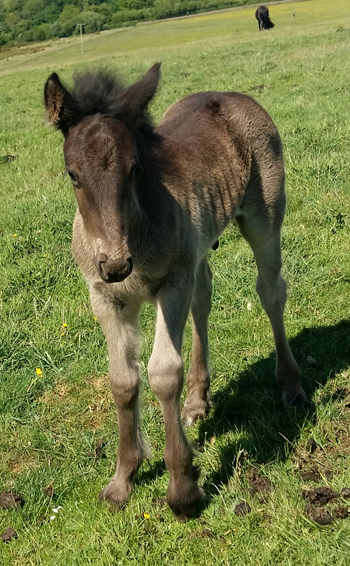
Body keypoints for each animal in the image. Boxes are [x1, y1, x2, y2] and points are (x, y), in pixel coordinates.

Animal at [44, 63, 306, 524]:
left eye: (135, 168)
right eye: (73, 174)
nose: (116, 265)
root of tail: (230, 95)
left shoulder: (172, 282)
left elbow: (164, 372)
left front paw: (182, 489)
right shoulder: (105, 297)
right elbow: (122, 380)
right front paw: (122, 480)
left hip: (265, 215)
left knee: (271, 290)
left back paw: (291, 385)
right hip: (199, 245)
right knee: (205, 296)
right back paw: (198, 401)